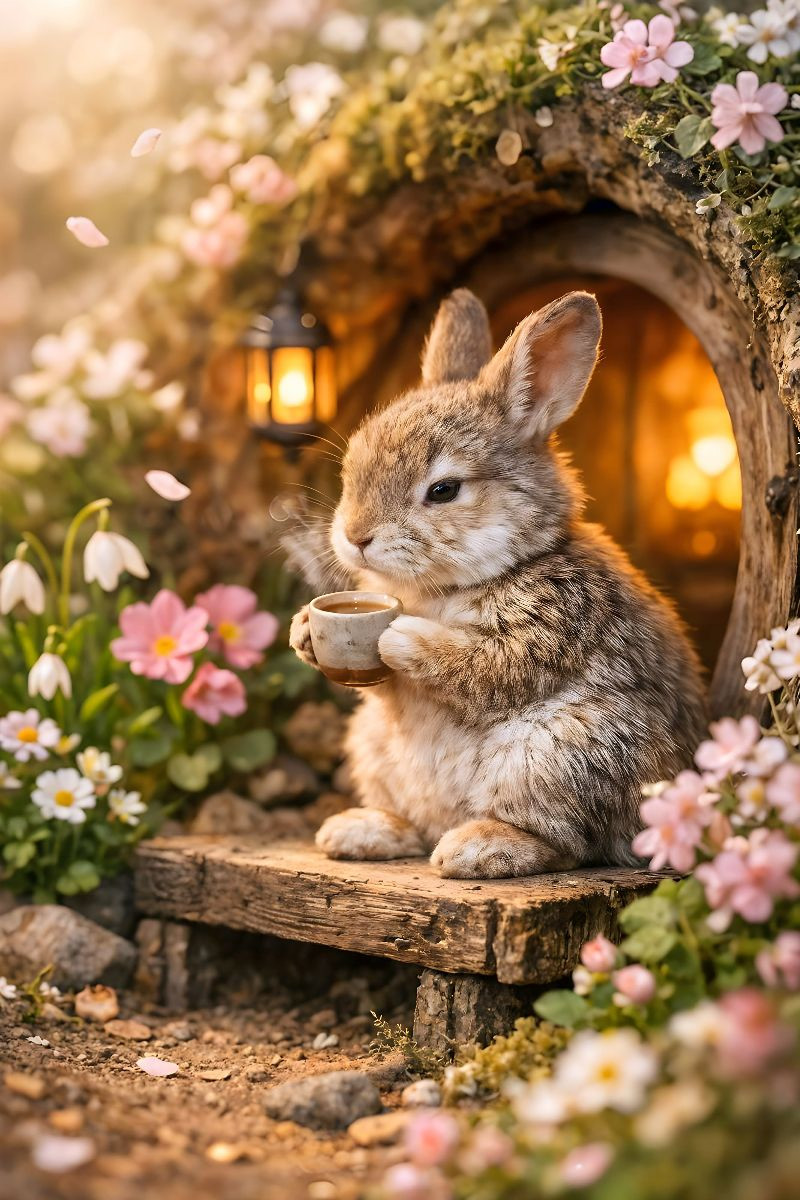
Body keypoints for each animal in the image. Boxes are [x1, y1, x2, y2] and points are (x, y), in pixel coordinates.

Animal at [289, 288, 707, 878]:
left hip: (562, 751)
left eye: (443, 490)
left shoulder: (551, 626)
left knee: (571, 844)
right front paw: (304, 629)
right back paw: (362, 831)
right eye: (352, 464)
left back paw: (477, 847)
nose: (355, 536)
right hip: (375, 745)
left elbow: (484, 665)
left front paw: (399, 636)